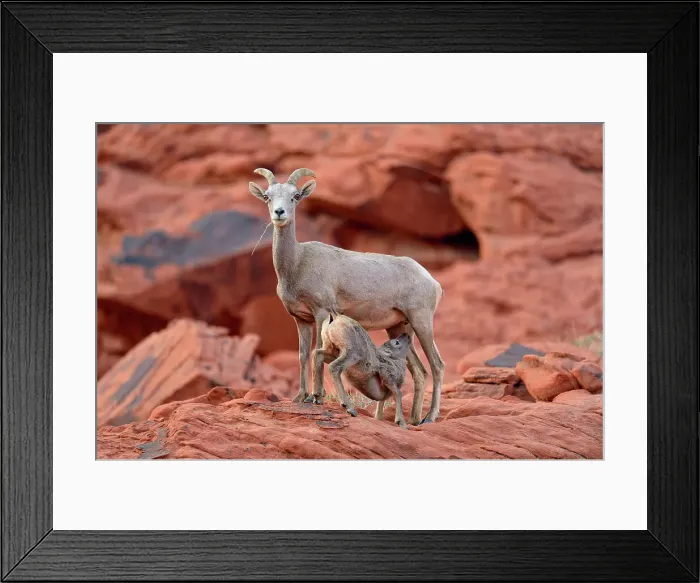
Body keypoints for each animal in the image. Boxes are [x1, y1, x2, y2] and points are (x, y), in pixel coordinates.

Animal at [249, 168, 445, 424]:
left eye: (296, 196)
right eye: (267, 197)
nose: (279, 213)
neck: (297, 263)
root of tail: (432, 281)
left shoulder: (322, 313)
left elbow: (317, 351)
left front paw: (316, 397)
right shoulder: (301, 320)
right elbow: (303, 355)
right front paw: (300, 397)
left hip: (421, 322)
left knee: (437, 365)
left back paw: (430, 418)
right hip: (399, 328)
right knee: (420, 372)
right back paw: (413, 420)